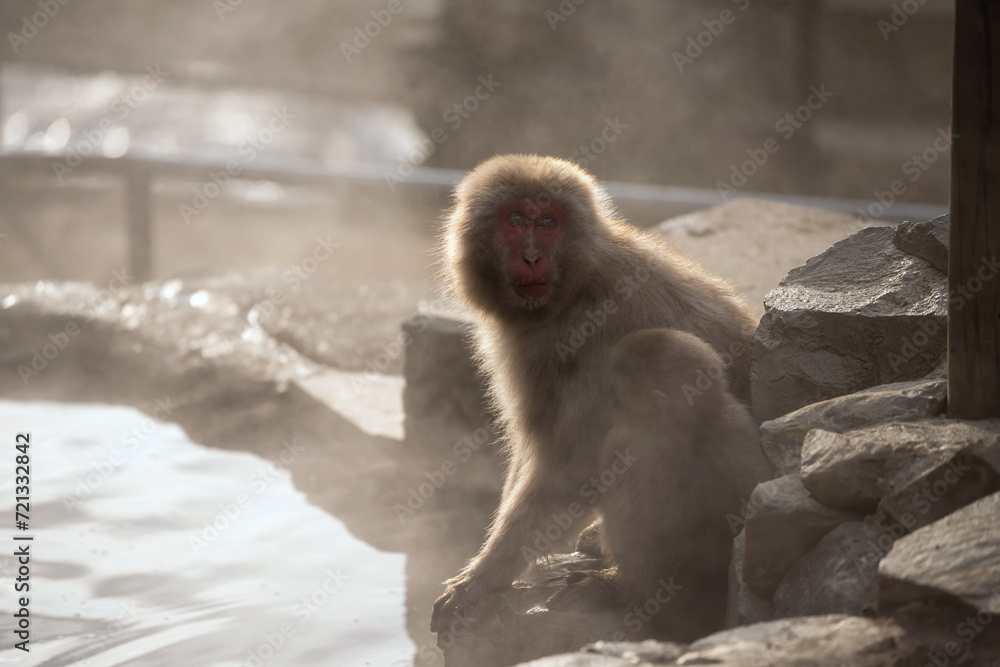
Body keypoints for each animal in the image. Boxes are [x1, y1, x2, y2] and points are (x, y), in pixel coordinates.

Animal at [430, 154, 766, 642]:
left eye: (548, 222)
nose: (532, 256)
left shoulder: (593, 339)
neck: (575, 288)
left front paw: (483, 578)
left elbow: (575, 465)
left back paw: (621, 591)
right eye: (516, 219)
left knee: (641, 443)